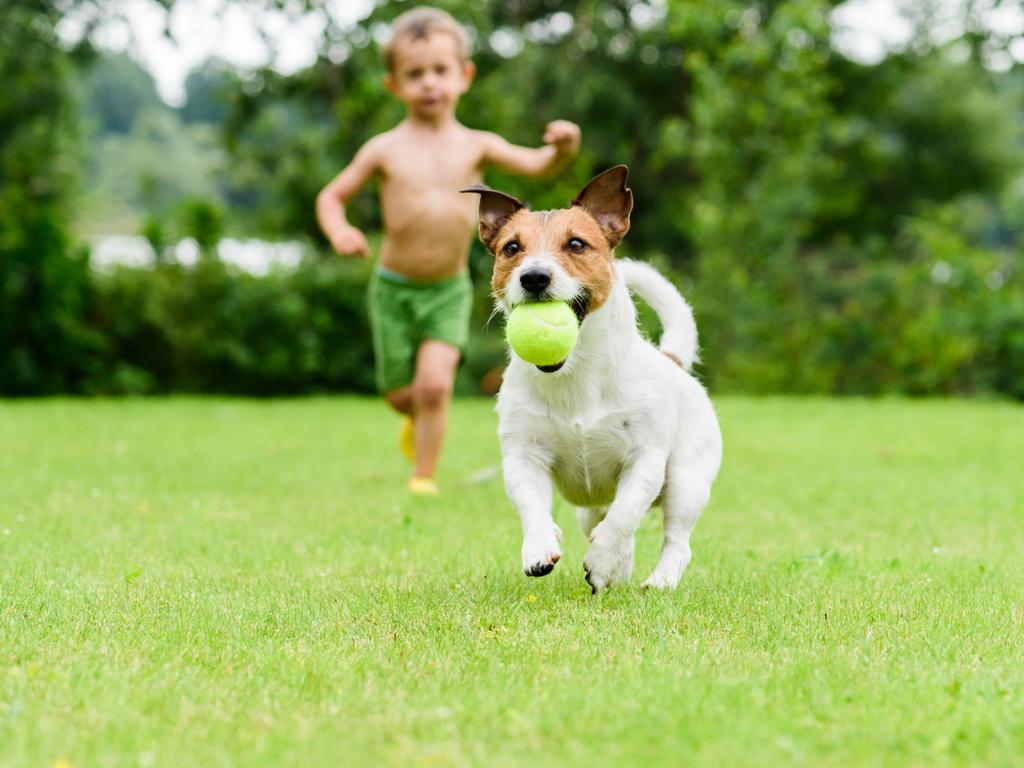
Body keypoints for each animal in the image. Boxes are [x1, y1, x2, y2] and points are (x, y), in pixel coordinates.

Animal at [464, 165, 720, 593]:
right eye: (511, 248)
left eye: (576, 244)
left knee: (674, 539)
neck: (575, 374)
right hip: (593, 506)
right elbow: (531, 504)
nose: (534, 277)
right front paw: (540, 548)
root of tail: (672, 360)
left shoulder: (646, 459)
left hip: (687, 480)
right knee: (605, 521)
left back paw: (656, 580)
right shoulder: (523, 455)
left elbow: (625, 514)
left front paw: (601, 560)